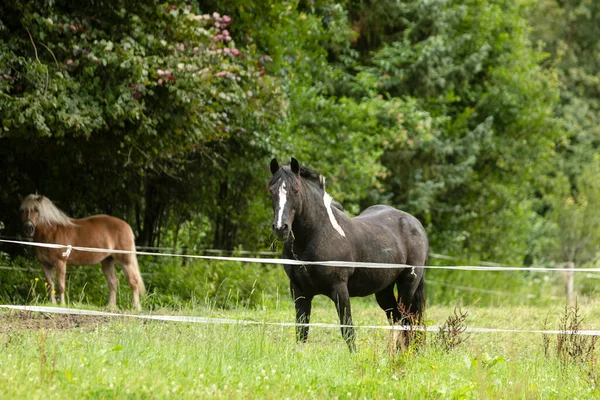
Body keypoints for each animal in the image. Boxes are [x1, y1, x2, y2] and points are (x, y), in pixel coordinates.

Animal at [270, 159, 428, 350]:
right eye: (271, 190)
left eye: (295, 190)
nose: (280, 228)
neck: (316, 235)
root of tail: (415, 223)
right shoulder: (299, 291)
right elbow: (302, 332)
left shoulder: (339, 289)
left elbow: (348, 330)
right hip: (384, 290)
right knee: (397, 319)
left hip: (408, 285)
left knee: (406, 321)